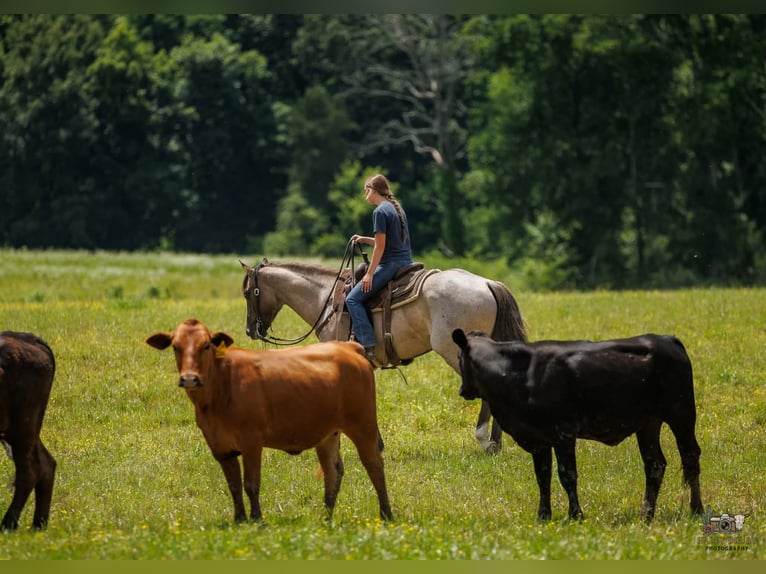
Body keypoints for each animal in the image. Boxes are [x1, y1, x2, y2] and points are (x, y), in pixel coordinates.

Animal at [240, 258, 528, 454]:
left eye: (247, 293)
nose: (250, 330)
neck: (327, 300)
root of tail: (488, 283)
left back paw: (485, 440)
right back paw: (496, 443)